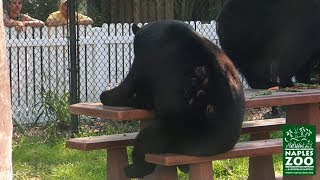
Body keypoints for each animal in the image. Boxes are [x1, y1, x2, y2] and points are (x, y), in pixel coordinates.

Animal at [100, 19, 245, 177]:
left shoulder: (146, 57)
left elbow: (130, 84)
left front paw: (106, 95)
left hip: (180, 128)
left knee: (149, 139)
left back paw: (133, 168)